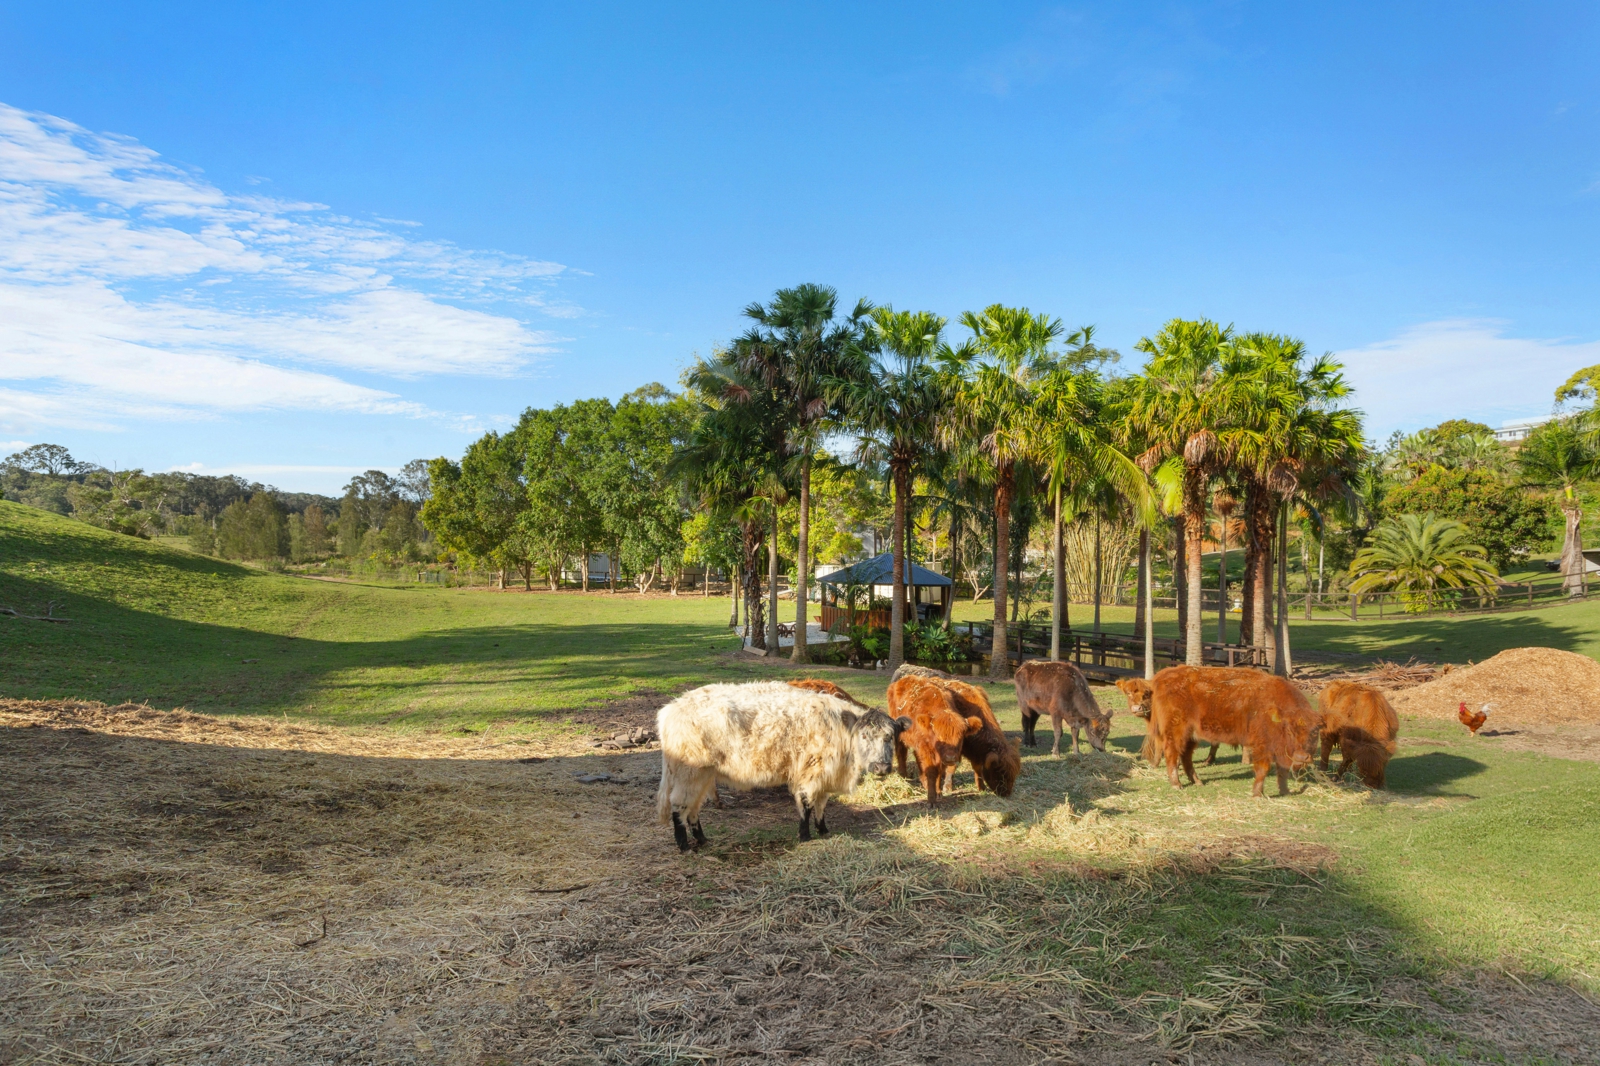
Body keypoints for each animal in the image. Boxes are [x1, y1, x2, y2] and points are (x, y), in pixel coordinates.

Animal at [655, 682, 910, 851]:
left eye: (890, 737)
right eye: (865, 736)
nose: (881, 767)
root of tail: (671, 709)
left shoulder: (824, 777)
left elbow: (821, 805)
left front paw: (823, 830)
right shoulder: (810, 773)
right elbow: (806, 804)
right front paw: (805, 835)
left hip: (704, 775)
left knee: (693, 807)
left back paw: (702, 839)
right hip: (689, 772)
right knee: (678, 805)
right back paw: (684, 845)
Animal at [887, 676, 983, 807]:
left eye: (961, 737)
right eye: (939, 737)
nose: (950, 758)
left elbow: (938, 771)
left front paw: (937, 792)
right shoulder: (927, 750)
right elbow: (932, 771)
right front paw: (931, 800)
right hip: (900, 736)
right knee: (901, 752)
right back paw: (903, 776)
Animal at [1149, 666, 1322, 797]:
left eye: (1315, 732)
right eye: (1290, 731)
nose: (1302, 757)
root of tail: (1164, 674)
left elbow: (1283, 771)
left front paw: (1285, 791)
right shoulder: (1262, 746)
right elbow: (1263, 769)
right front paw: (1258, 794)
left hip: (1191, 736)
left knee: (1186, 756)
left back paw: (1197, 782)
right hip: (1176, 732)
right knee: (1172, 753)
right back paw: (1176, 784)